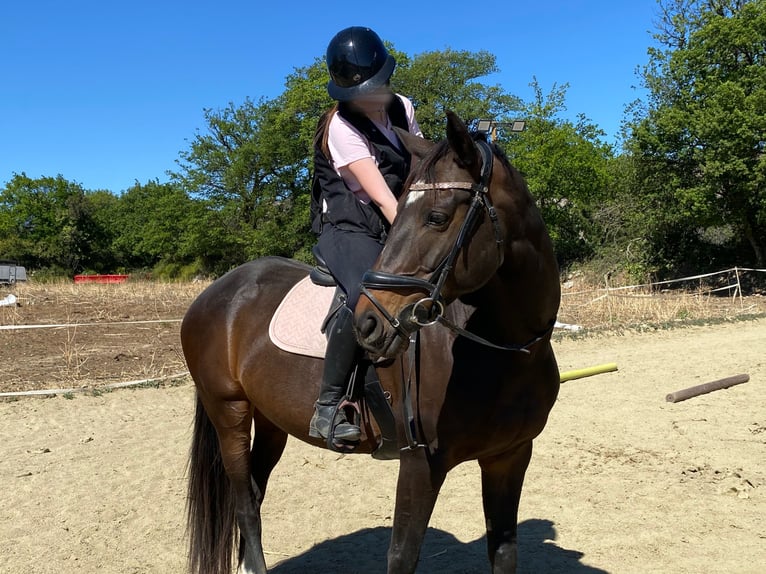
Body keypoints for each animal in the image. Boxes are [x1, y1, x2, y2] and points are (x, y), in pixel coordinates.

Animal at [182, 111, 561, 574]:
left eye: (436, 218)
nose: (368, 325)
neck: (506, 352)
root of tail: (215, 293)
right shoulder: (420, 464)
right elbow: (402, 555)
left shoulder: (510, 457)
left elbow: (504, 551)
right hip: (229, 410)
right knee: (243, 502)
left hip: (270, 418)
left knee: (254, 491)